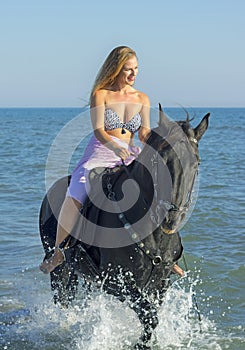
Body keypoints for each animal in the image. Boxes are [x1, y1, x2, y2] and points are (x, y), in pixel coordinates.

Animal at [39, 105, 210, 348]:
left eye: (196, 163)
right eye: (159, 161)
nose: (171, 218)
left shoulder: (160, 283)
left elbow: (152, 315)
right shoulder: (115, 282)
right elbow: (150, 316)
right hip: (60, 269)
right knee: (62, 300)